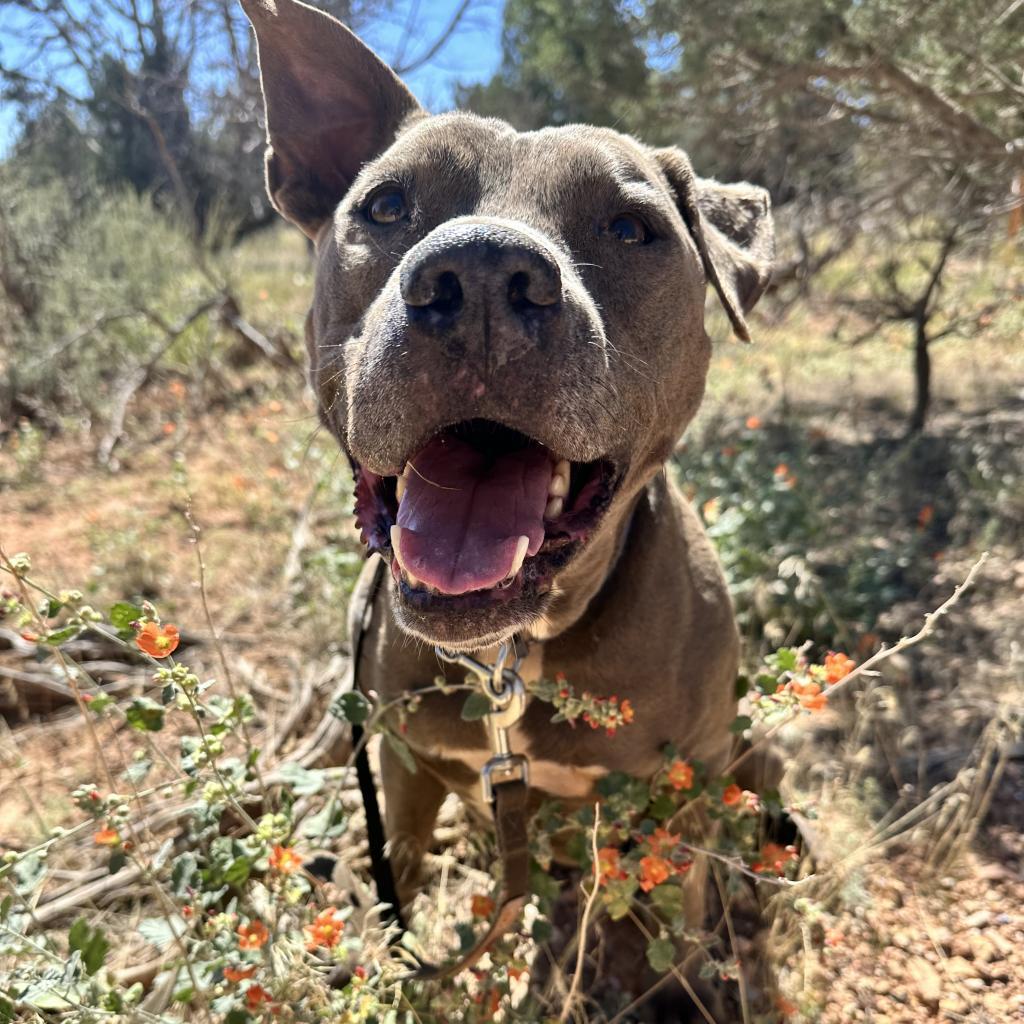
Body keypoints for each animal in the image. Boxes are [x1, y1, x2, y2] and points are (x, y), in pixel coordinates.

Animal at [237, 0, 770, 991]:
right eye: (385, 205)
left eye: (630, 228)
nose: (482, 274)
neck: (509, 656)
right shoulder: (402, 769)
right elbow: (398, 884)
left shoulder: (687, 784)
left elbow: (682, 914)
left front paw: (687, 983)